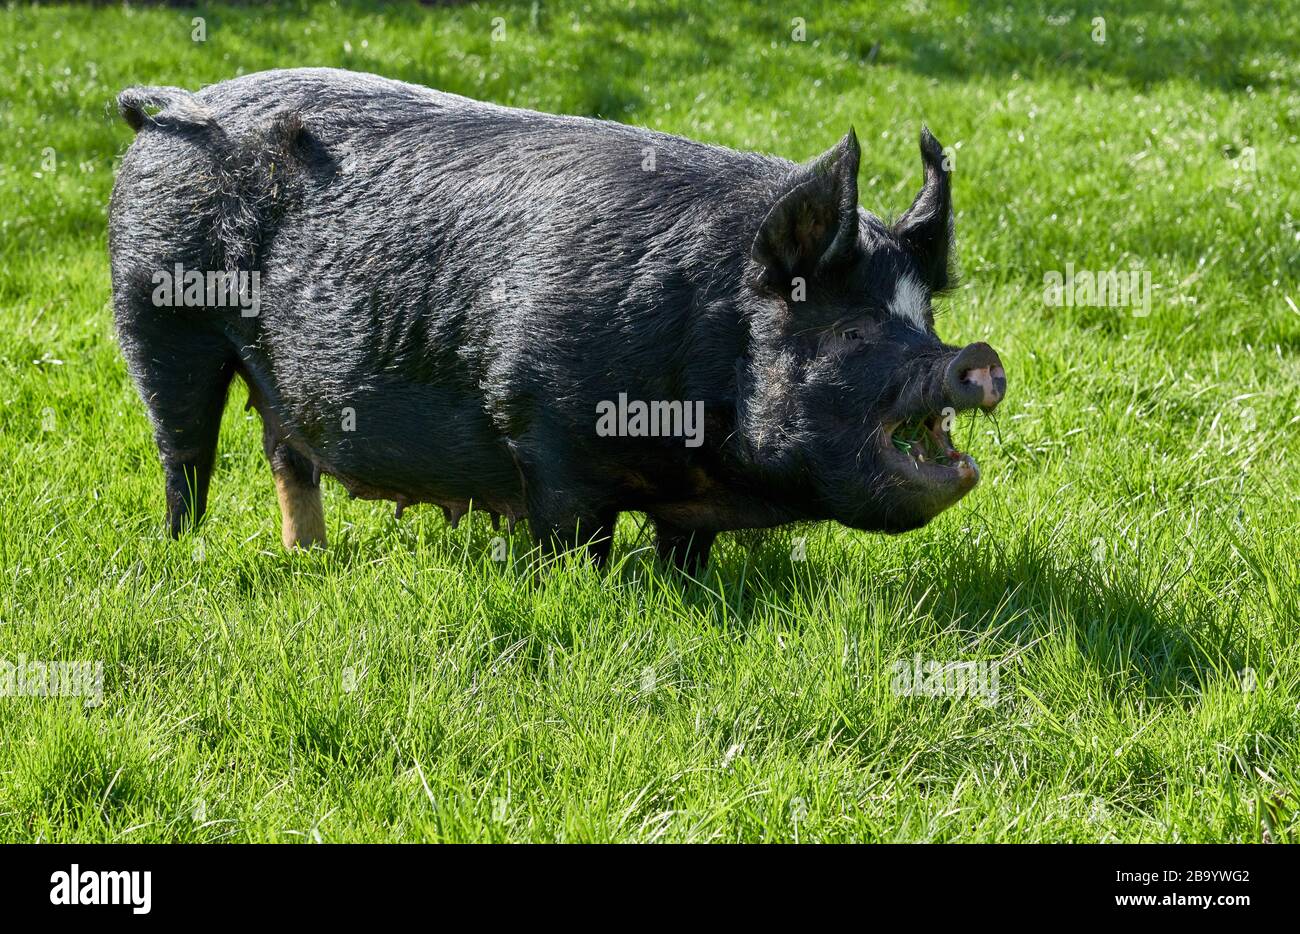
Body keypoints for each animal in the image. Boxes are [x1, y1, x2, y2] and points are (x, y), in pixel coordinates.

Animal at [108, 68, 1005, 572]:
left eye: (923, 318)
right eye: (852, 332)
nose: (975, 357)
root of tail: (170, 107)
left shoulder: (690, 501)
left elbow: (686, 555)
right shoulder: (545, 428)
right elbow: (577, 540)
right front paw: (581, 591)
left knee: (284, 451)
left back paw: (311, 559)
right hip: (156, 310)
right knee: (185, 451)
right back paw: (184, 549)